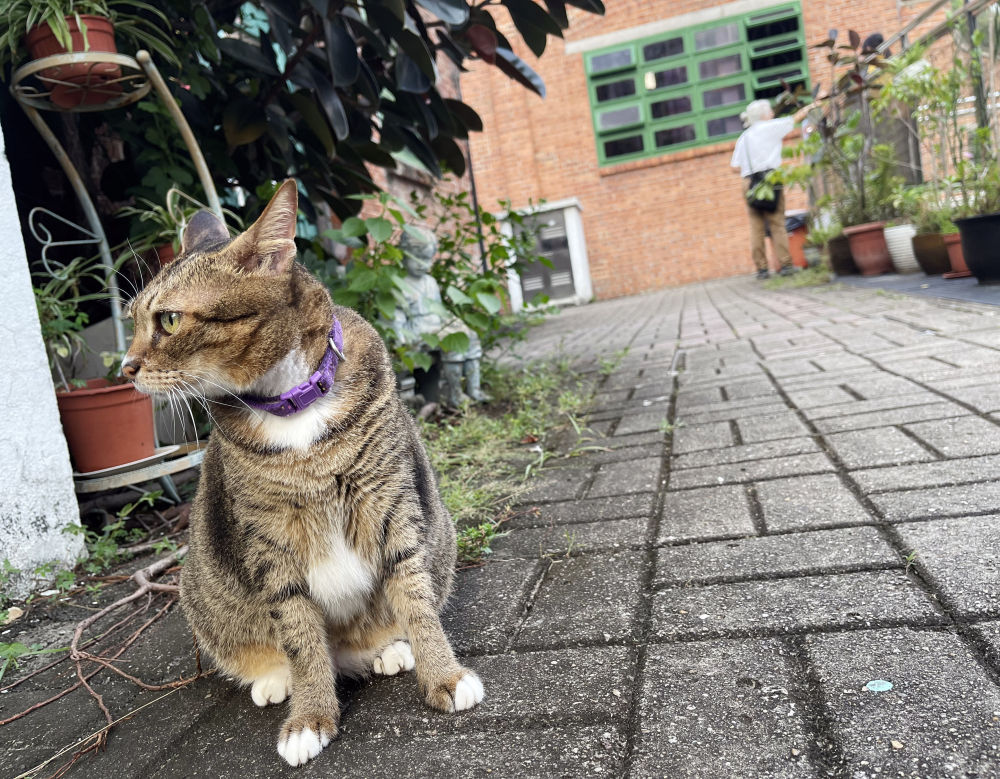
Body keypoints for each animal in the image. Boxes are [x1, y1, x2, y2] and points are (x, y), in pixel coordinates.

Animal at [123, 178, 482, 768]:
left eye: (168, 319)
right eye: (131, 321)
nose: (125, 368)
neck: (291, 404)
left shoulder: (390, 503)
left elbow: (414, 592)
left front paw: (444, 675)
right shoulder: (270, 543)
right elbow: (297, 628)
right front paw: (311, 718)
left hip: (440, 533)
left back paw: (392, 650)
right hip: (200, 586)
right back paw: (277, 681)